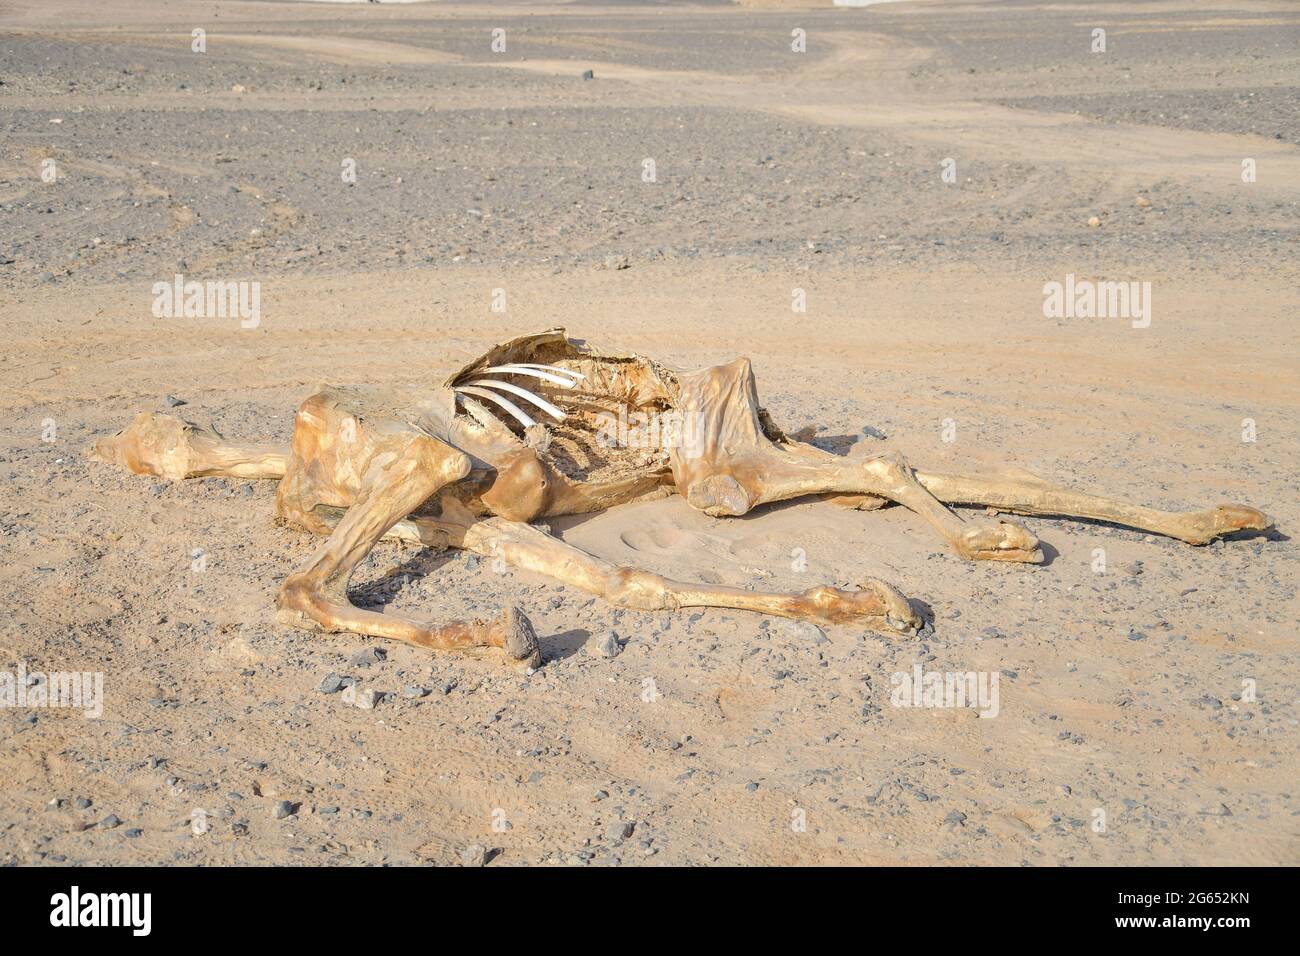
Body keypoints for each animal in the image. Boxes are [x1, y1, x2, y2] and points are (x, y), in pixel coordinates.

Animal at [89, 329, 1272, 668]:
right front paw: (871, 601)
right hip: (721, 462)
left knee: (905, 472)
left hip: (712, 453)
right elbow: (634, 586)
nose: (136, 437)